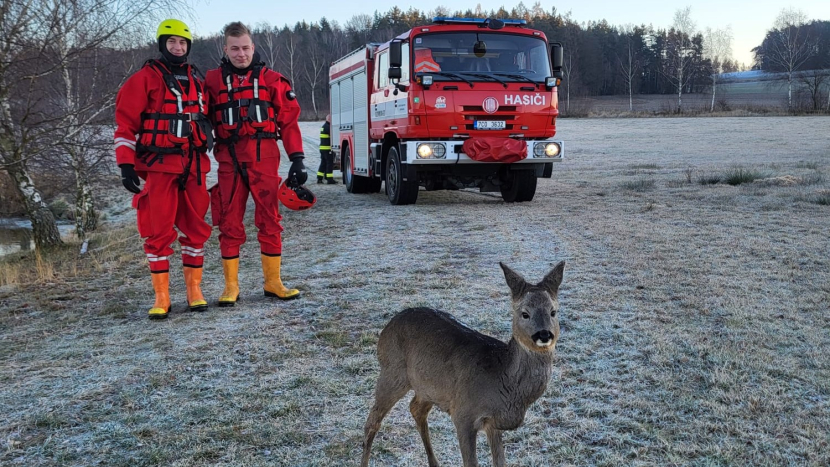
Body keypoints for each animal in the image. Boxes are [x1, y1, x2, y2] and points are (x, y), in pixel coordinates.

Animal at [362, 262, 564, 467]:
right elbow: (471, 462)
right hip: (392, 371)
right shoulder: (463, 414)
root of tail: (388, 326)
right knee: (372, 420)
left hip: (428, 387)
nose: (544, 334)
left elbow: (500, 461)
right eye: (524, 313)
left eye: (553, 312)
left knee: (416, 409)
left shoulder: (492, 422)